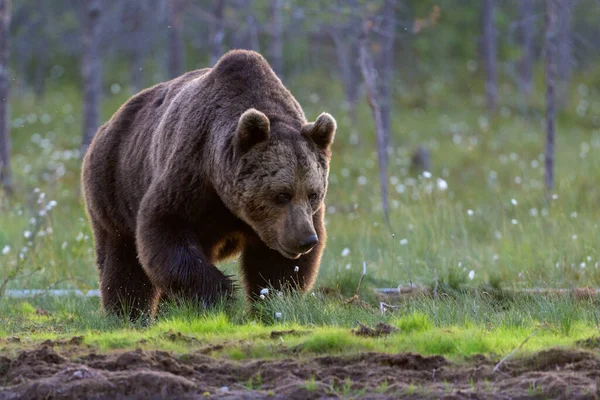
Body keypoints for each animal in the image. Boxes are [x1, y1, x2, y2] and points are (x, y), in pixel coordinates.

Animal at [80, 49, 336, 318]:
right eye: (282, 195)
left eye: (313, 194)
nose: (306, 239)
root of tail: (108, 123)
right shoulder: (191, 176)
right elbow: (165, 228)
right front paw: (221, 293)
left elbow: (276, 265)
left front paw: (273, 302)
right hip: (115, 185)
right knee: (124, 259)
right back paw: (128, 312)